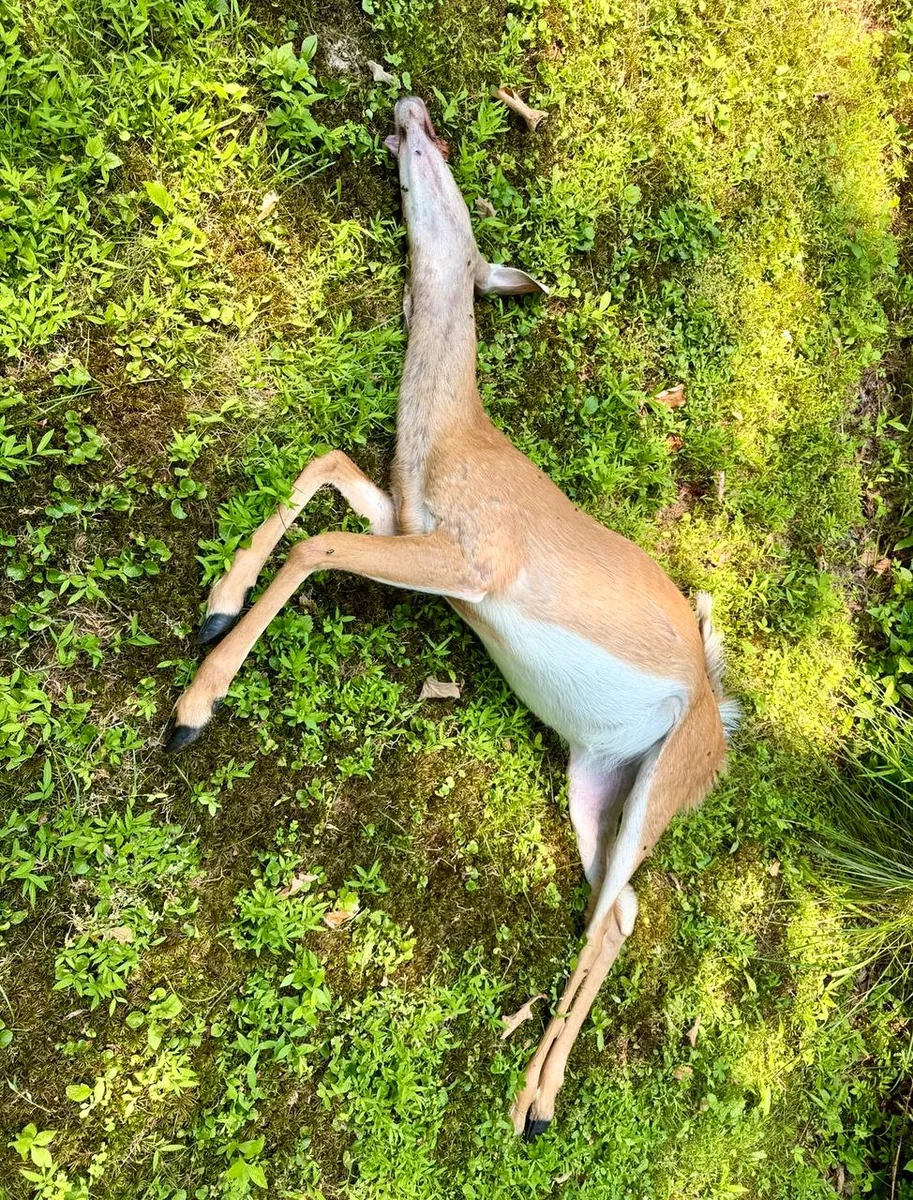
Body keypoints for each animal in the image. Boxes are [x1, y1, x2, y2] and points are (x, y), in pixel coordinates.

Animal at [164, 95, 739, 1138]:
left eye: (447, 164)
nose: (411, 109)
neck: (453, 437)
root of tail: (726, 732)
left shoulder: (474, 558)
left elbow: (317, 545)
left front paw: (193, 708)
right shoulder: (408, 520)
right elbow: (322, 466)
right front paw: (215, 607)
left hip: (666, 779)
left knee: (614, 911)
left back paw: (529, 1103)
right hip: (599, 782)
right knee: (621, 912)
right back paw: (540, 1100)